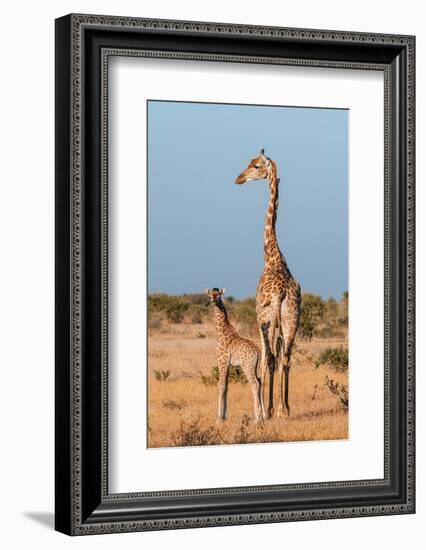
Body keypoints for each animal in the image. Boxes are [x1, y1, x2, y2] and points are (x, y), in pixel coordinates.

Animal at [205, 292, 264, 424]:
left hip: (247, 366)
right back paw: (263, 417)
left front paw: (218, 419)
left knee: (255, 384)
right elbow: (227, 387)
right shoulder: (228, 364)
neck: (221, 331)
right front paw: (225, 417)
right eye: (210, 296)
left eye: (219, 296)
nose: (213, 301)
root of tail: (258, 352)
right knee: (260, 382)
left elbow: (221, 385)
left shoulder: (222, 361)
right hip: (256, 367)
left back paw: (257, 419)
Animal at [235, 150, 302, 418]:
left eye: (255, 165)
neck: (272, 255)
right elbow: (278, 358)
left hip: (268, 320)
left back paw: (269, 409)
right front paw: (277, 407)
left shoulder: (259, 317)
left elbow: (264, 359)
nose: (239, 179)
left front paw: (264, 410)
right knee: (286, 357)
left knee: (270, 357)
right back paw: (285, 408)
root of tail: (282, 292)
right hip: (291, 319)